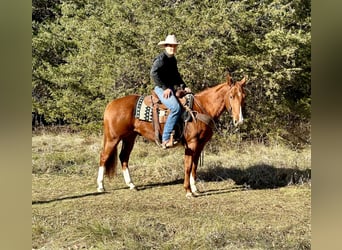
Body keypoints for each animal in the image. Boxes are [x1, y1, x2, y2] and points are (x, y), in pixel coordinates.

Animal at [96, 73, 246, 198]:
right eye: (231, 96)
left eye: (243, 97)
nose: (239, 120)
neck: (201, 109)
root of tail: (111, 104)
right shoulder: (191, 144)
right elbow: (188, 166)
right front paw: (188, 191)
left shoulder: (200, 145)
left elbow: (194, 166)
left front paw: (195, 188)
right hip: (113, 138)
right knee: (104, 157)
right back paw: (100, 186)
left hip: (129, 137)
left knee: (124, 157)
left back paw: (131, 184)